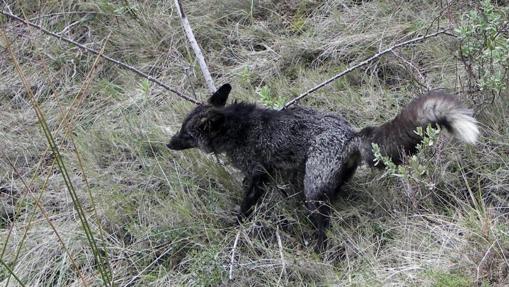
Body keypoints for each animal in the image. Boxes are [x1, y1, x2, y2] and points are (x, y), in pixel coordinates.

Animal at [168, 83, 480, 250]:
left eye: (186, 134)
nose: (168, 144)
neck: (238, 128)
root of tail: (351, 135)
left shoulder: (258, 175)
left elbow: (246, 205)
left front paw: (236, 225)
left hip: (313, 193)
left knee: (323, 227)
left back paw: (318, 249)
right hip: (324, 185)